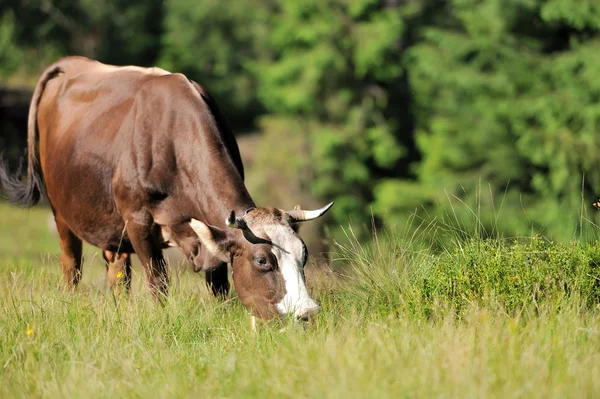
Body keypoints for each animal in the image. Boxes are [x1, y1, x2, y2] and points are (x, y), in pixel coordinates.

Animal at [0, 56, 332, 320]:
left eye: (303, 255)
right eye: (262, 260)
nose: (307, 313)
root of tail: (72, 63)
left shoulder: (209, 236)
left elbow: (219, 285)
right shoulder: (138, 222)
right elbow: (158, 283)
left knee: (118, 273)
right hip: (61, 213)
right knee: (72, 267)